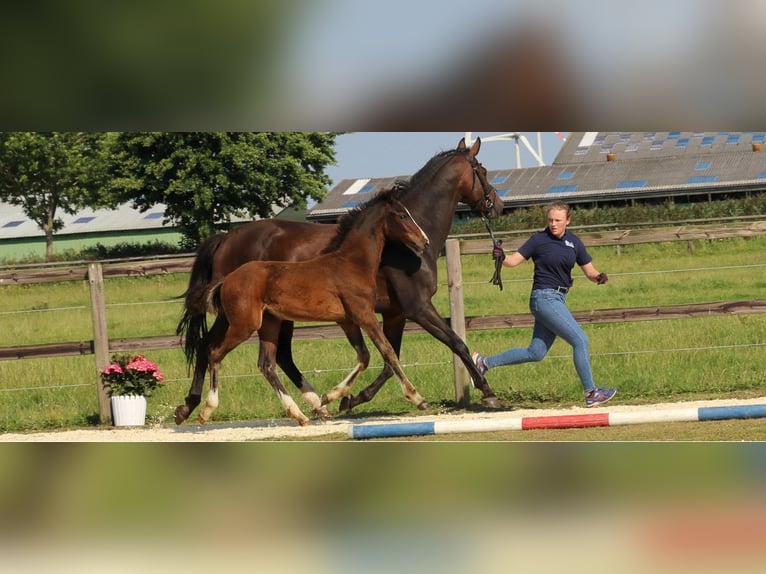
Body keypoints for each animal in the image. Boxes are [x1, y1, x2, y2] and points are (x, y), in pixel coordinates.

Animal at [198, 190, 428, 428]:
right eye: (402, 215)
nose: (424, 241)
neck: (352, 264)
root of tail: (226, 280)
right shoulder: (365, 315)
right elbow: (388, 352)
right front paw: (417, 398)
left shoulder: (347, 320)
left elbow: (364, 356)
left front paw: (330, 396)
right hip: (244, 325)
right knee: (215, 352)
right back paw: (207, 410)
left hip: (270, 323)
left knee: (266, 364)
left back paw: (300, 414)